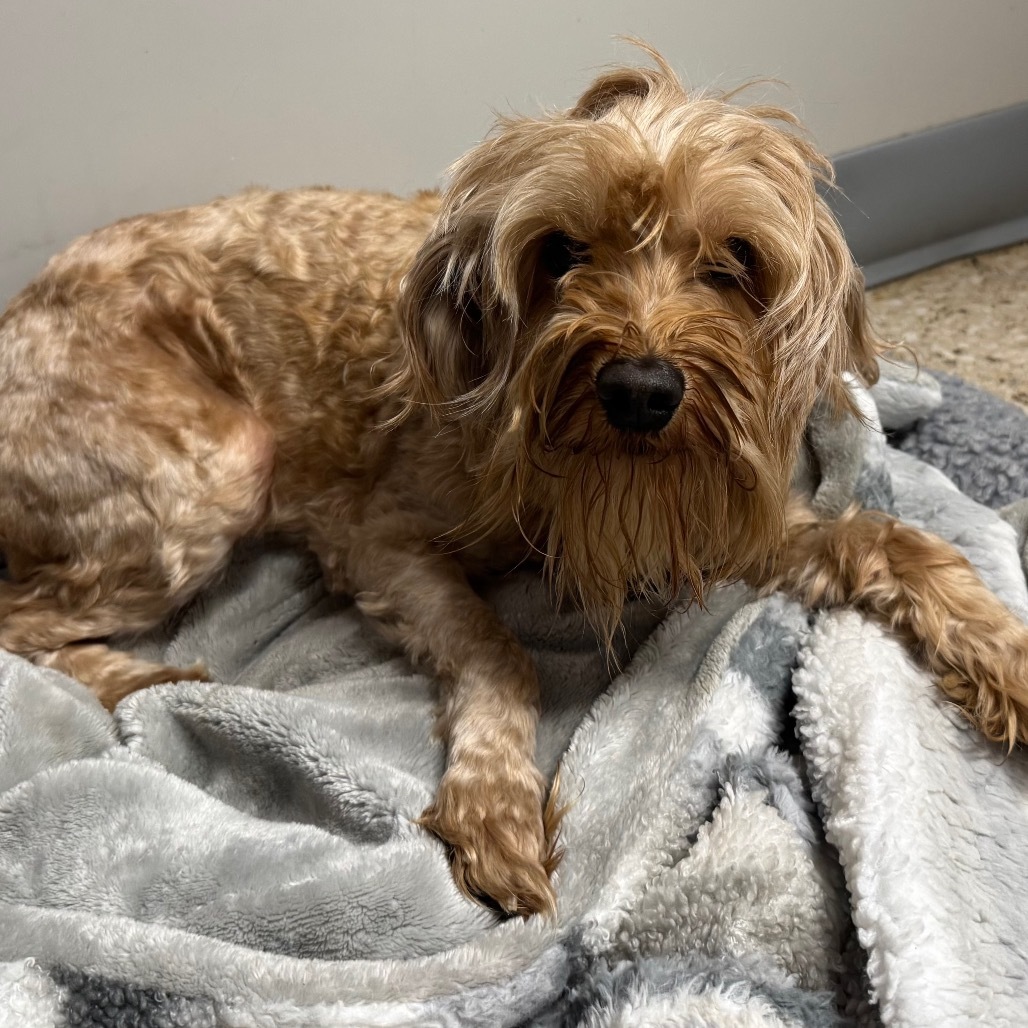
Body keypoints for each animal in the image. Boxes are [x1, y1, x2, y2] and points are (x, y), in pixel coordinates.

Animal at [2, 48, 1028, 921]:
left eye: (734, 260)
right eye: (561, 251)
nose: (640, 391)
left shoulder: (725, 519)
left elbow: (894, 538)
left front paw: (1005, 653)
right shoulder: (372, 534)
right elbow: (499, 650)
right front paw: (496, 801)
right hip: (215, 469)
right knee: (22, 621)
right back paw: (144, 678)